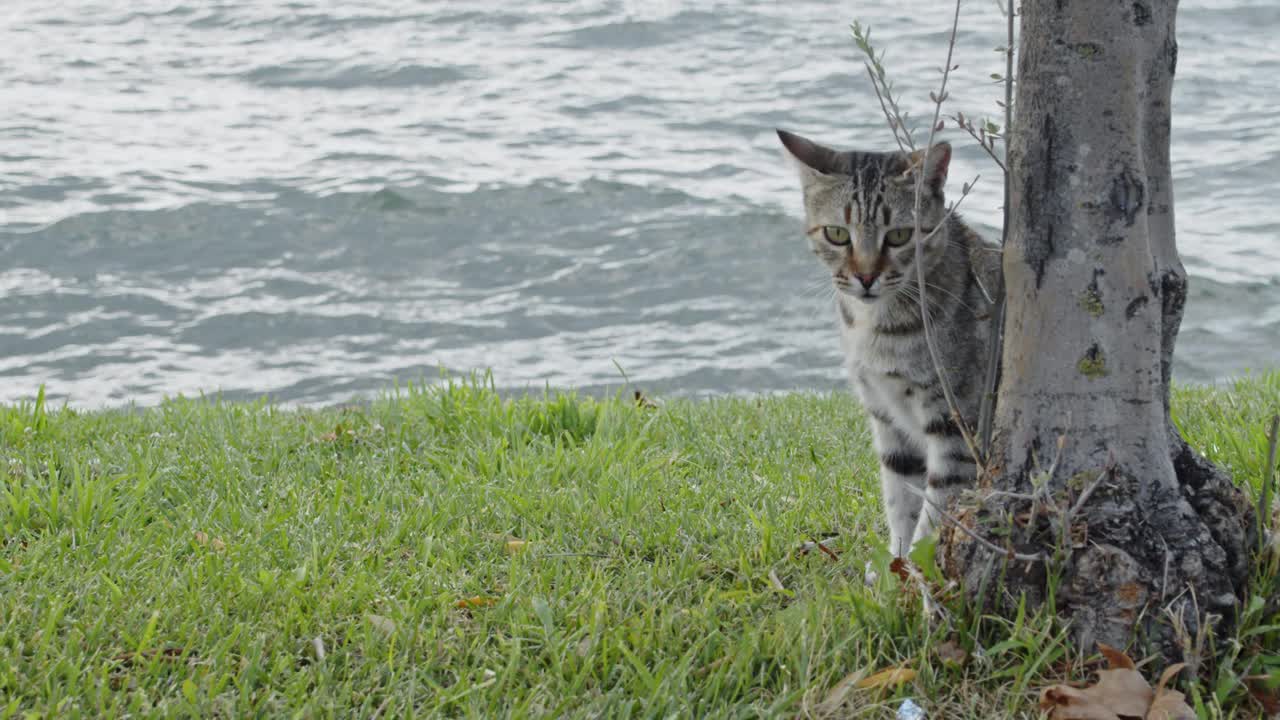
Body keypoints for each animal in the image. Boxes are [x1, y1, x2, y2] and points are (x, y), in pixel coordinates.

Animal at [773, 128, 1003, 556]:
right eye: (836, 234)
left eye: (899, 235)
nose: (865, 277)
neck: (878, 330)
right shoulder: (887, 417)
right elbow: (901, 504)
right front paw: (894, 565)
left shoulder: (956, 426)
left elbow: (934, 515)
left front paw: (915, 569)